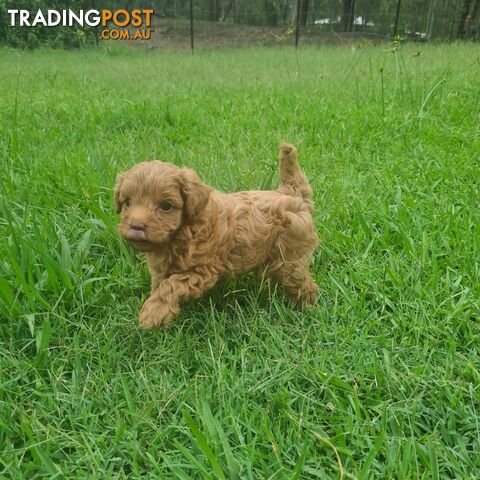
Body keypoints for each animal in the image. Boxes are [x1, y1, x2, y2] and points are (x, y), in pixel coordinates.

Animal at [114, 142, 318, 328]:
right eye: (128, 203)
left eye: (165, 206)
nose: (136, 226)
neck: (184, 230)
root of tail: (291, 194)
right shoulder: (160, 269)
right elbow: (159, 285)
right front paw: (161, 310)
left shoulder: (203, 270)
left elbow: (172, 285)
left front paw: (153, 312)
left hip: (290, 258)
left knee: (303, 284)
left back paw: (307, 311)